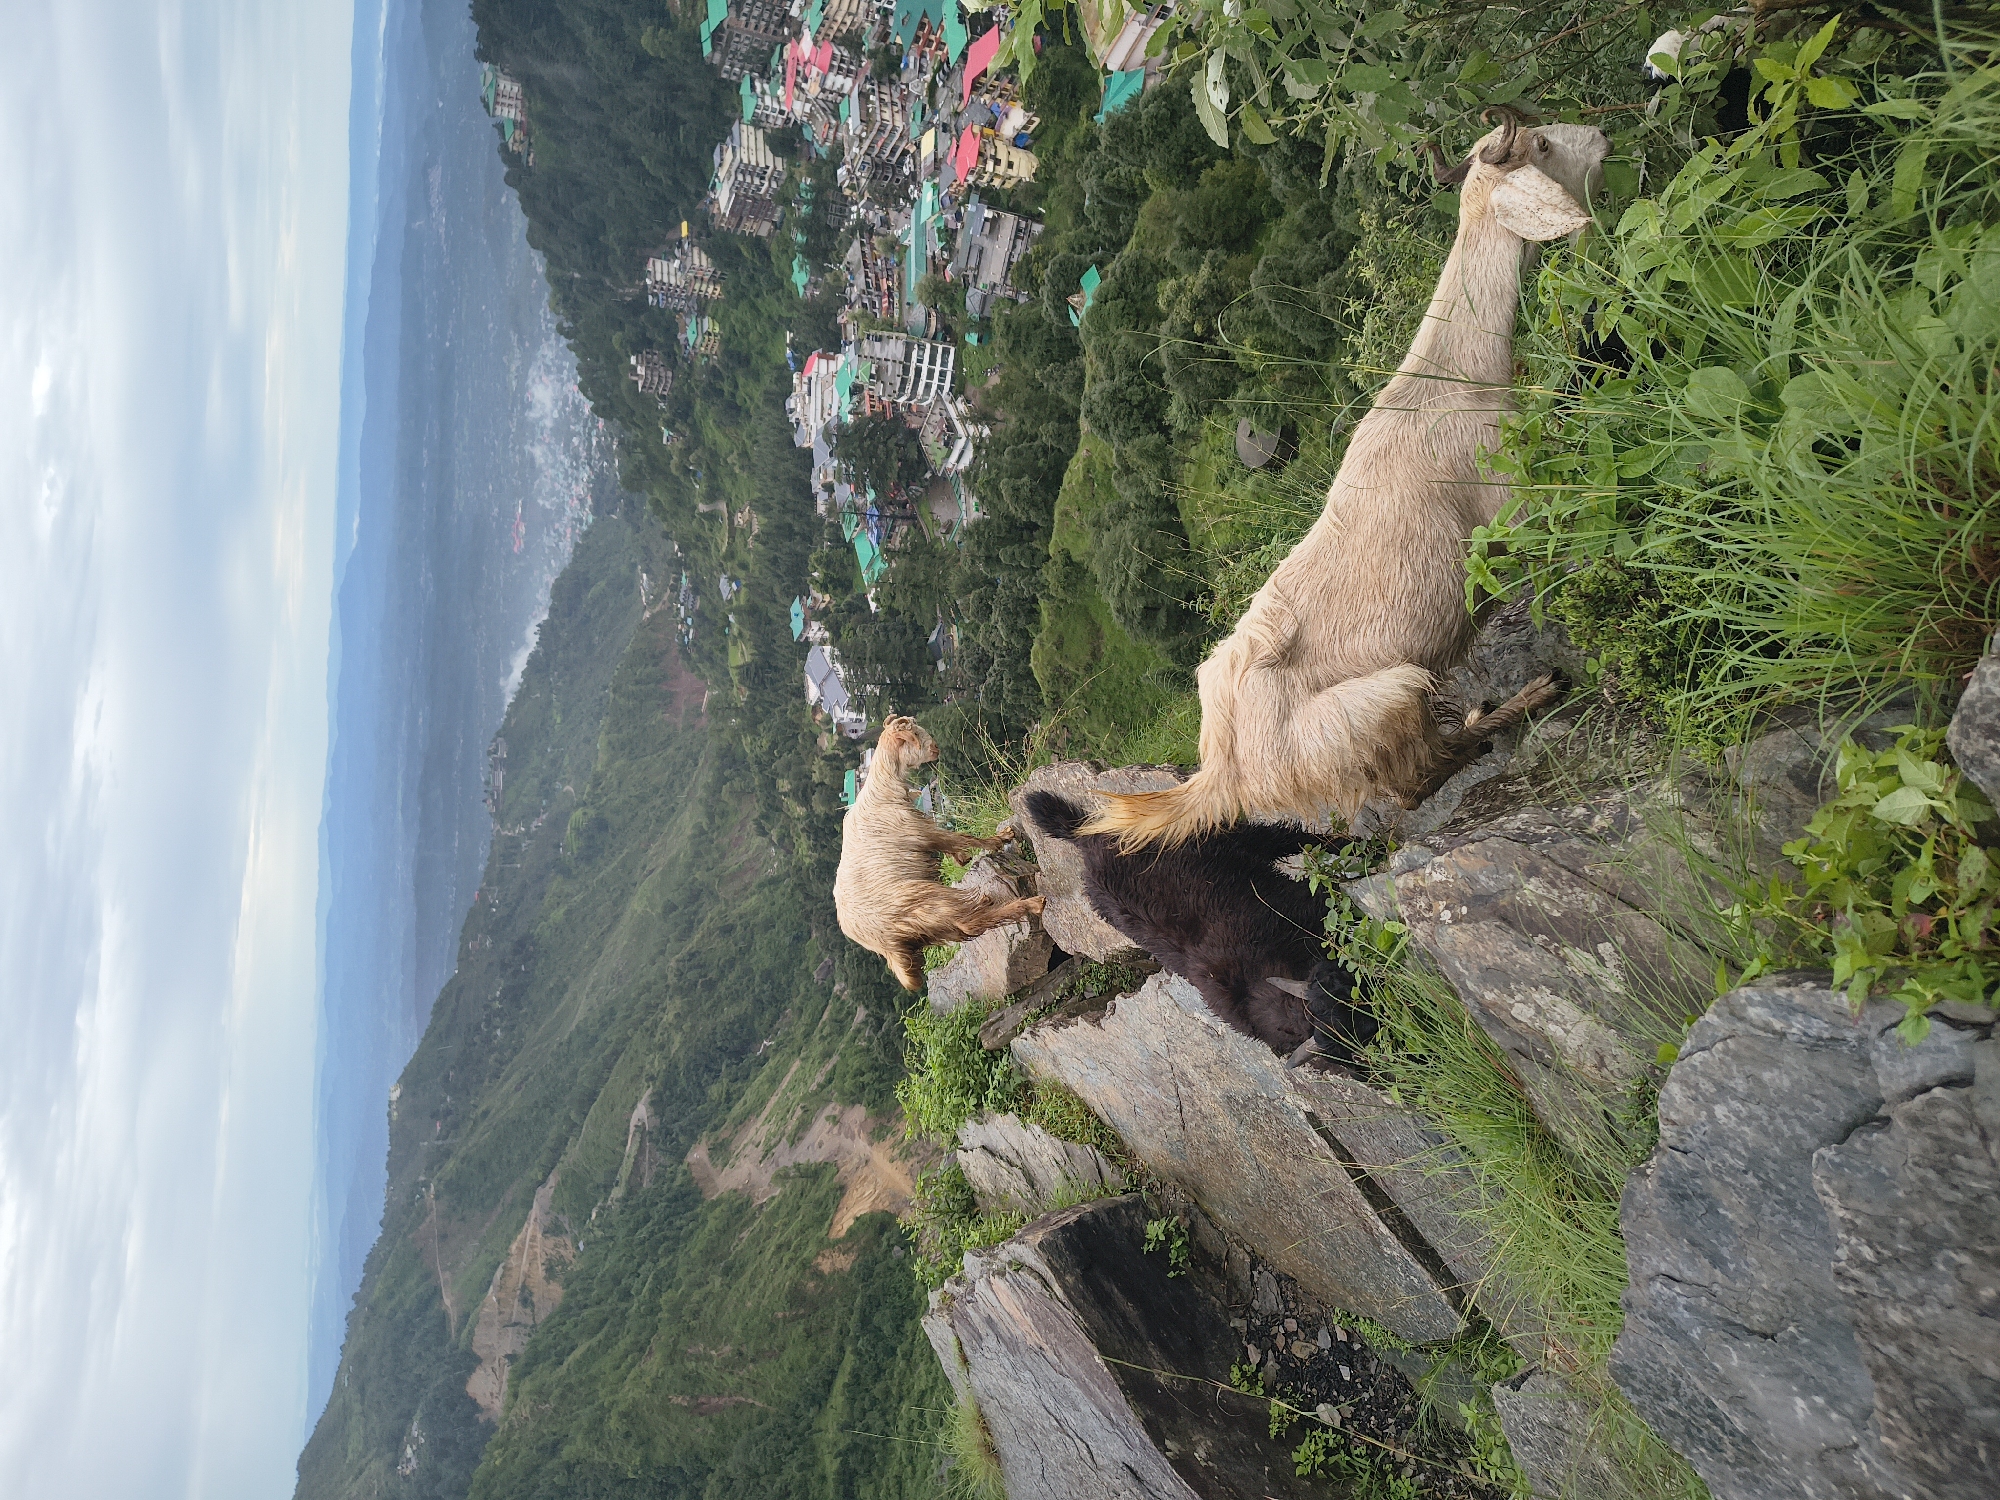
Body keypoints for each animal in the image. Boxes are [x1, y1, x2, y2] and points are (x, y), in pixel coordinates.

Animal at [834, 715, 1044, 991]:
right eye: (915, 733)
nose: (935, 748)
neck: (883, 789)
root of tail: (880, 942)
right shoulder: (922, 832)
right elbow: (962, 838)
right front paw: (1000, 839)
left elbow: (952, 846)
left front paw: (963, 858)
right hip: (926, 902)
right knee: (968, 922)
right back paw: (1030, 904)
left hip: (929, 926)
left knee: (967, 927)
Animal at [1084, 113, 1609, 850]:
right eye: (1540, 145)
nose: (1603, 139)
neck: (1454, 377)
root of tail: (1222, 774)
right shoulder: (1512, 501)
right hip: (1384, 700)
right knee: (1416, 780)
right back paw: (1514, 708)